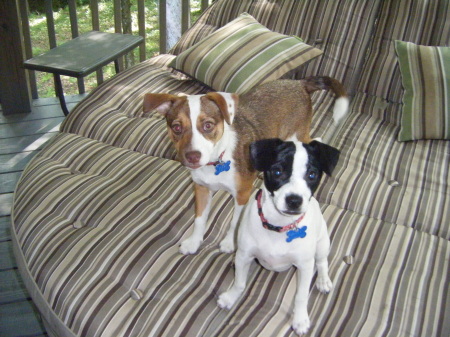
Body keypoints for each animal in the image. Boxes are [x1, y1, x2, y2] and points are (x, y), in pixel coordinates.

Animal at [143, 77, 348, 255]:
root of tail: (300, 83)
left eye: (208, 125)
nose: (192, 157)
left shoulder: (241, 194)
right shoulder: (201, 188)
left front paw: (229, 243)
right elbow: (199, 219)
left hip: (296, 134)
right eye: (176, 127)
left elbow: (235, 223)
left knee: (313, 140)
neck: (216, 160)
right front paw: (194, 242)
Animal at [219, 137, 342, 334]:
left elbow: (301, 295)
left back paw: (323, 280)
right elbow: (239, 282)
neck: (278, 225)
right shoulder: (245, 255)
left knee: (322, 262)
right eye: (277, 171)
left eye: (312, 175)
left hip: (322, 242)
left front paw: (300, 319)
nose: (294, 200)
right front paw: (231, 297)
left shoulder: (305, 267)